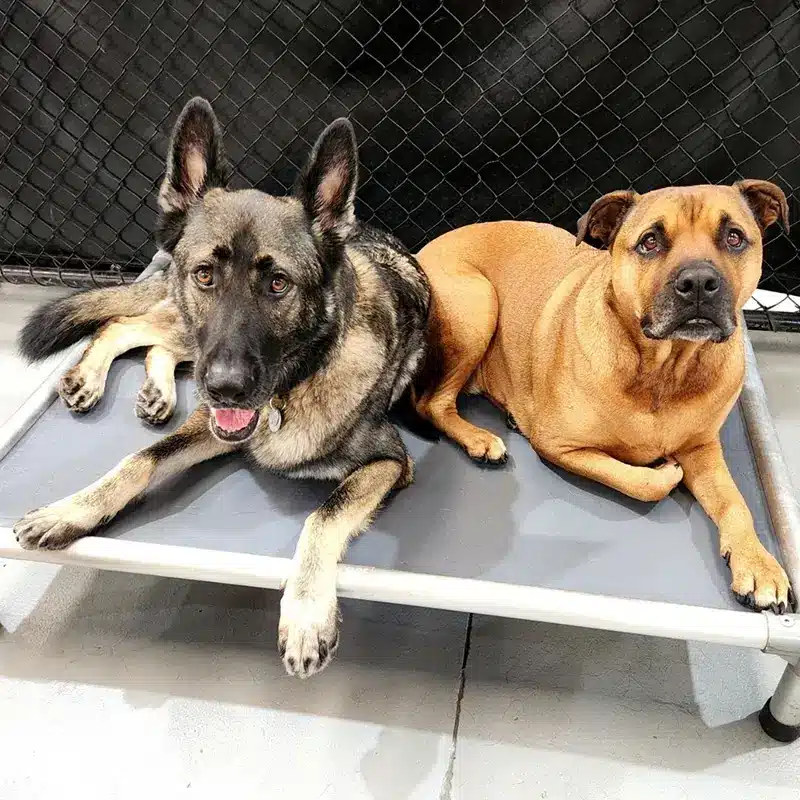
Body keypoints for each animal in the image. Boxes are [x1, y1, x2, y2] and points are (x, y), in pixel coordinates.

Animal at [14, 97, 430, 677]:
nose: (228, 389)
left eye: (278, 284)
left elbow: (323, 515)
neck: (291, 387)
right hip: (188, 334)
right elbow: (139, 460)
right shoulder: (212, 423)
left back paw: (156, 391)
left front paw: (305, 611)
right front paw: (72, 508)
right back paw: (96, 379)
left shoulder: (389, 462)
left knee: (151, 341)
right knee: (127, 325)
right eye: (206, 274)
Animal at [413, 181, 794, 613]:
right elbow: (640, 481)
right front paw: (666, 473)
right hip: (479, 302)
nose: (698, 282)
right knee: (432, 403)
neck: (664, 370)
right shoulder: (560, 446)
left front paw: (759, 563)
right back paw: (479, 438)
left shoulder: (702, 449)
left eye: (734, 237)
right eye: (649, 241)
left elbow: (735, 503)